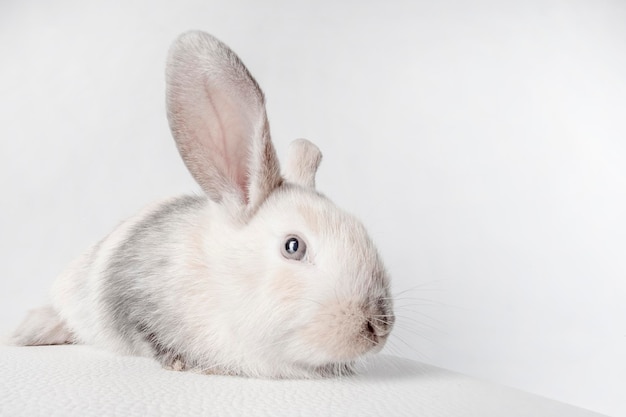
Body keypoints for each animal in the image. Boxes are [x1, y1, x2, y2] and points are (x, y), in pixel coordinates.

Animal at [9, 30, 392, 378]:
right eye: (293, 246)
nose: (380, 325)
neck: (218, 276)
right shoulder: (133, 298)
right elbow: (147, 336)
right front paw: (181, 362)